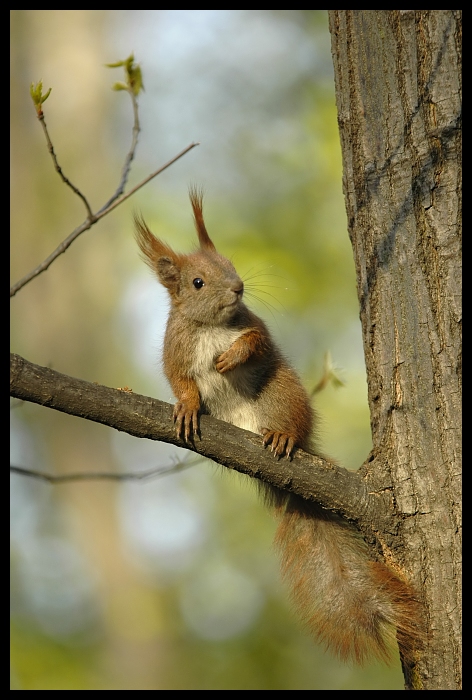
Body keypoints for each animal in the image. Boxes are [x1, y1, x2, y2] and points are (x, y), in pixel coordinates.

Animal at [136, 190, 420, 668]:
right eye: (197, 282)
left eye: (231, 264)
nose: (237, 288)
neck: (214, 326)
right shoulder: (175, 350)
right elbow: (180, 380)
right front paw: (187, 407)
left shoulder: (255, 326)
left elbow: (257, 341)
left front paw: (232, 357)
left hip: (281, 392)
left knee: (289, 419)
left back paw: (284, 436)